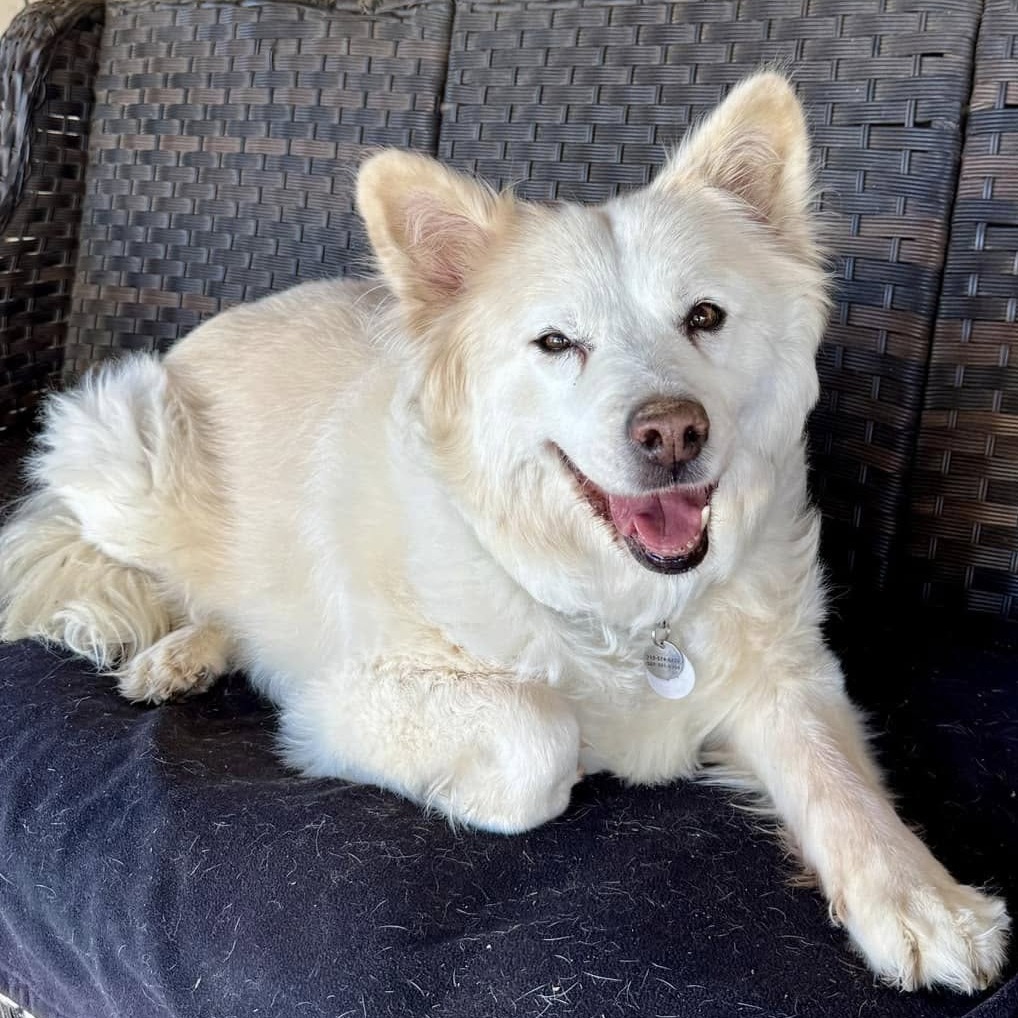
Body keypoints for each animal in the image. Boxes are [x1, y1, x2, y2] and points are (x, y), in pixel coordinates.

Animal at [0, 73, 1005, 993]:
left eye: (705, 317)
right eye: (557, 344)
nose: (673, 433)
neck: (627, 608)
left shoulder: (790, 672)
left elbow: (837, 780)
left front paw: (921, 899)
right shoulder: (351, 695)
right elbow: (539, 739)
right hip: (134, 449)